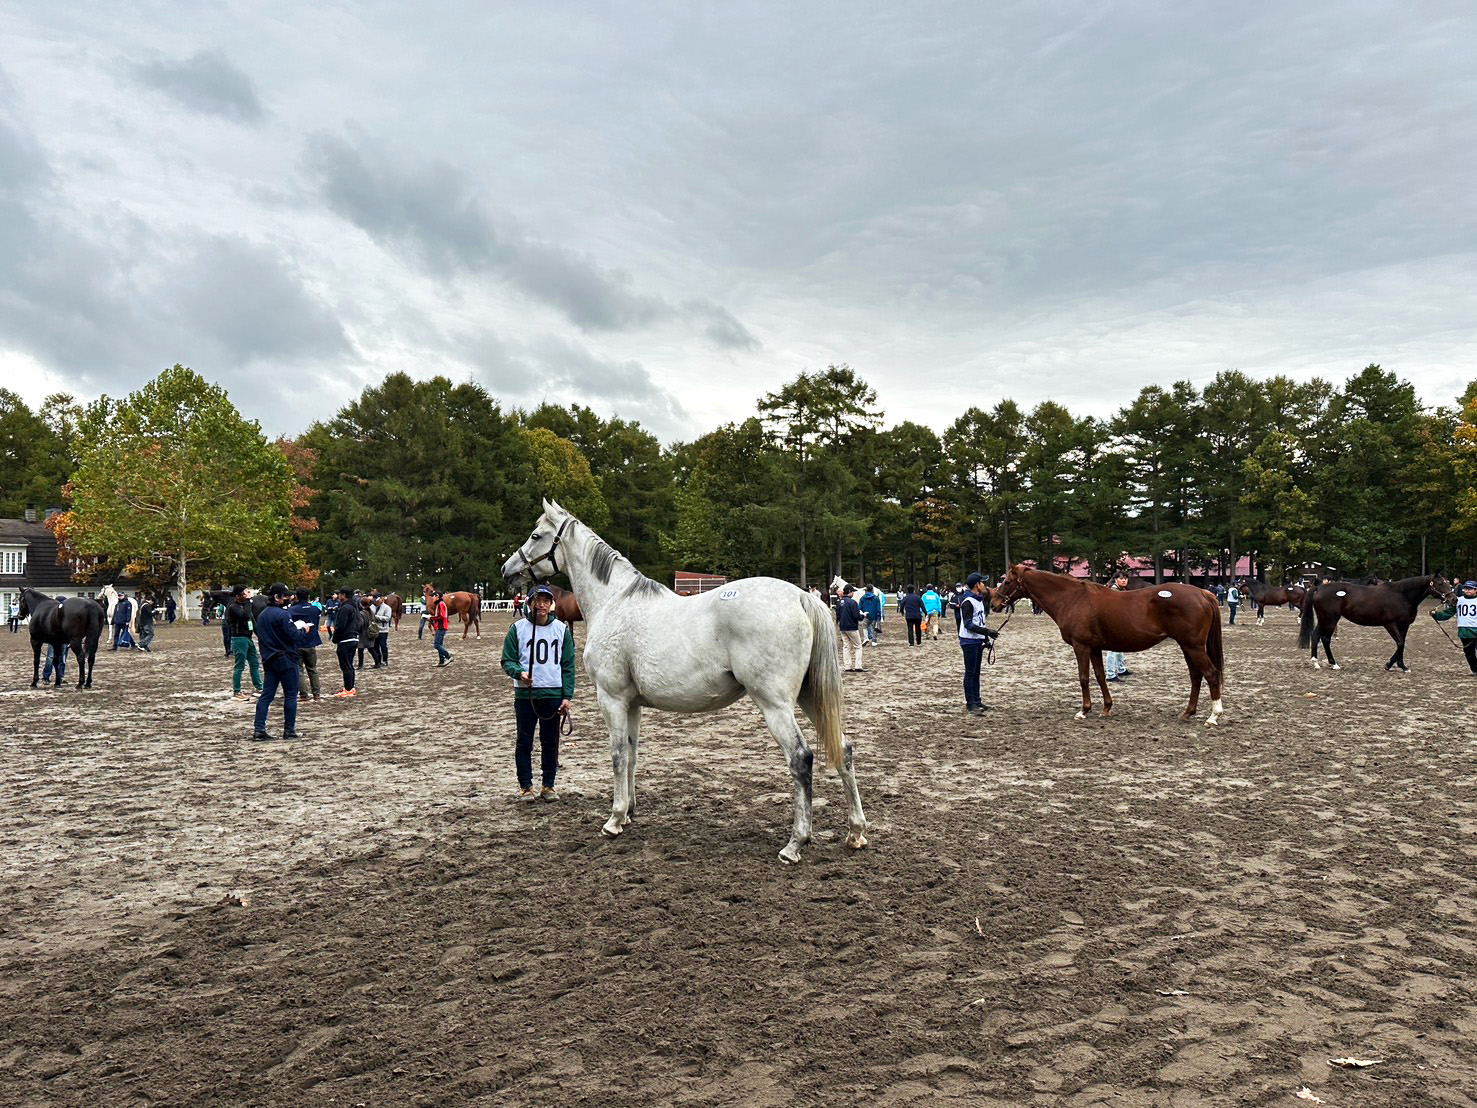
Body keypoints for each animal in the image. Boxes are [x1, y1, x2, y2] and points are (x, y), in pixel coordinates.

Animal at [998, 564, 1228, 729]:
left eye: (1007, 581)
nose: (994, 602)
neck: (1072, 599)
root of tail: (1203, 593)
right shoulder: (1094, 647)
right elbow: (1100, 676)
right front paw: (1106, 708)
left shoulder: (1081, 646)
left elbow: (1084, 677)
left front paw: (1083, 710)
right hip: (1187, 647)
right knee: (1196, 676)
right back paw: (1188, 713)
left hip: (1193, 647)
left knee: (1210, 674)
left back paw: (1213, 717)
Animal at [1299, 576, 1447, 673]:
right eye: (1439, 583)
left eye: (1447, 582)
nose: (1451, 598)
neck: (1401, 596)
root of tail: (1319, 587)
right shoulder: (1390, 624)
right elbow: (1400, 643)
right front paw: (1389, 665)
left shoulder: (1404, 626)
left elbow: (1402, 644)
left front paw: (1401, 666)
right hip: (1330, 620)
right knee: (1325, 639)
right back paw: (1334, 664)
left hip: (1324, 620)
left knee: (1315, 636)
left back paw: (1316, 663)